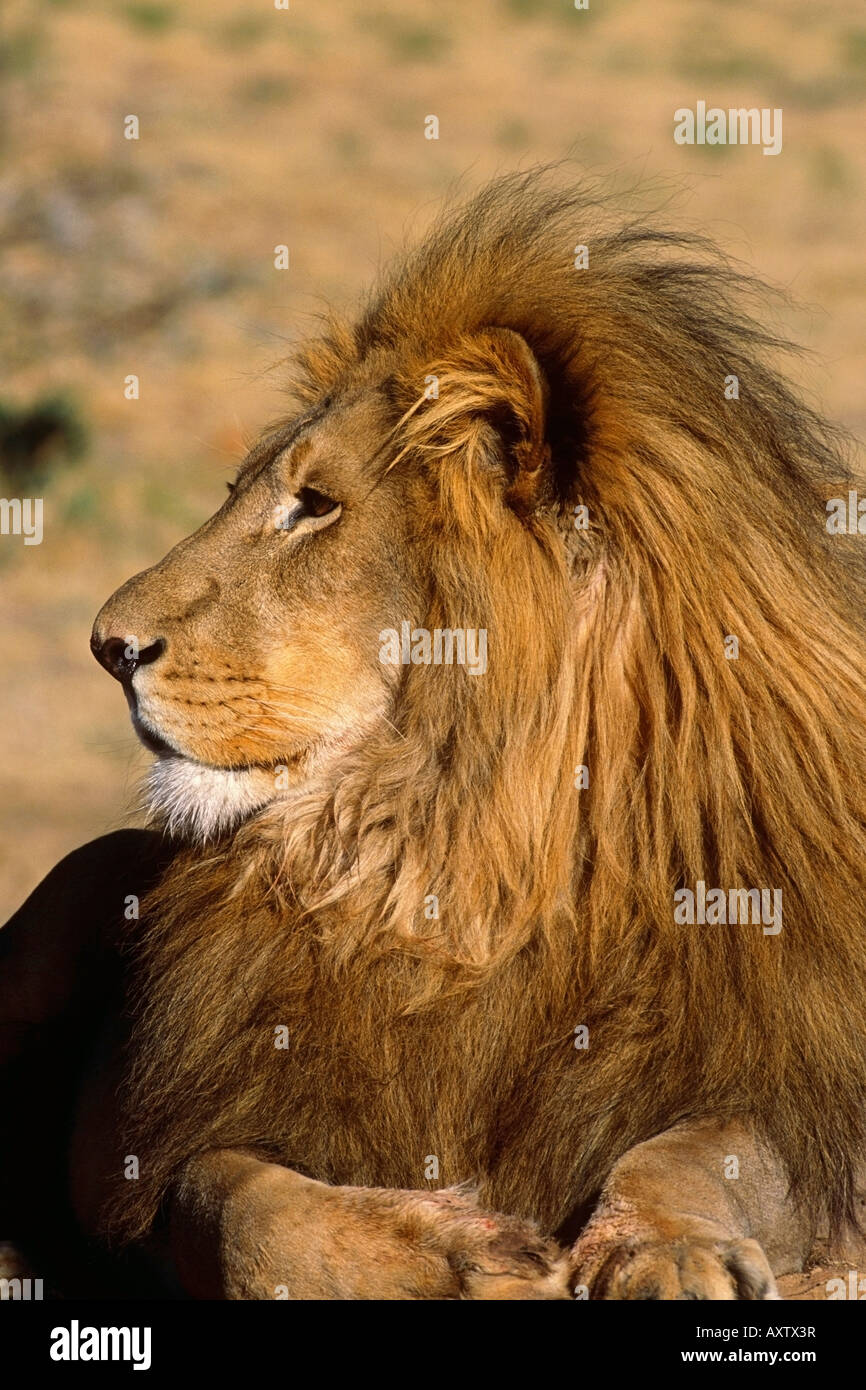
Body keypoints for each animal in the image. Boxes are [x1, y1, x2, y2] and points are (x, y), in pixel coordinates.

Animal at [2, 171, 866, 1301]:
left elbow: (697, 1148)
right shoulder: (166, 1145)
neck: (456, 856)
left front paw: (665, 1250)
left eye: (313, 507)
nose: (108, 646)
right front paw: (465, 1252)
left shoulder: (799, 1090)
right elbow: (242, 1208)